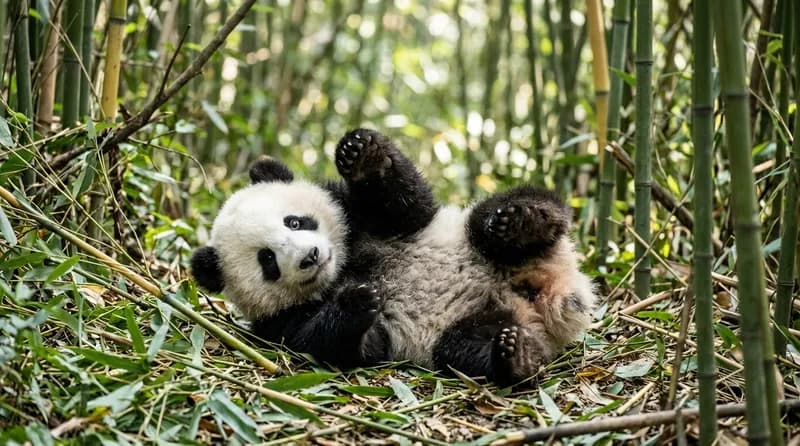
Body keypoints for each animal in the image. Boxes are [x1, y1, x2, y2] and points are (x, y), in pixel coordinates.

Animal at [191, 128, 596, 384]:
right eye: (268, 261)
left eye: (295, 221)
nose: (310, 257)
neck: (344, 266)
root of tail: (553, 297)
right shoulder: (278, 324)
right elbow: (340, 345)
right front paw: (357, 302)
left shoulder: (357, 212)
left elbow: (409, 208)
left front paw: (363, 156)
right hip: (480, 326)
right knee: (462, 349)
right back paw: (517, 356)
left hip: (487, 238)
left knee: (491, 220)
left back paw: (521, 221)